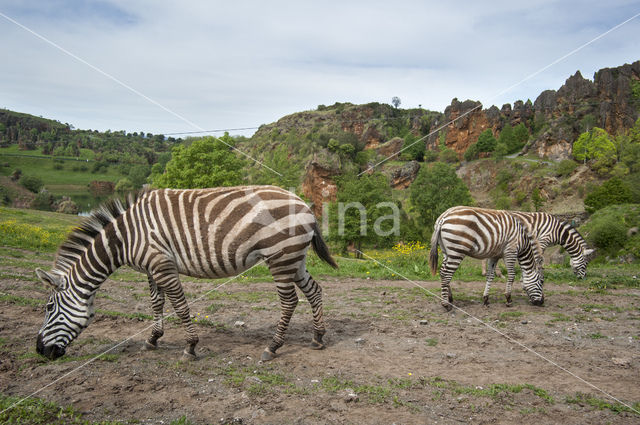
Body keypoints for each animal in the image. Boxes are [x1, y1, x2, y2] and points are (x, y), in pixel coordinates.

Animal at [34, 186, 338, 362]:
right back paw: (318, 337)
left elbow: (179, 306)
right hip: (294, 258)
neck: (125, 238)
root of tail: (303, 202)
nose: (39, 351)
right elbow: (157, 303)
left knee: (289, 302)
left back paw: (272, 347)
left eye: (49, 307)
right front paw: (153, 339)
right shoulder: (152, 268)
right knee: (314, 290)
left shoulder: (162, 264)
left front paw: (190, 347)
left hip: (280, 257)